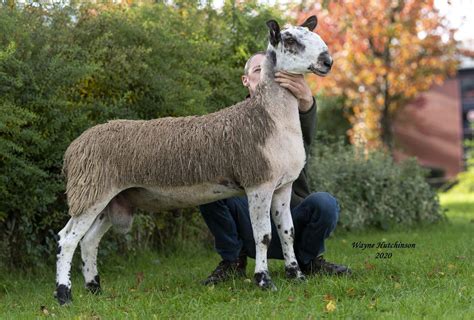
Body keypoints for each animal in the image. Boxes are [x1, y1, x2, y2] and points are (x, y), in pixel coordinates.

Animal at [54, 15, 334, 304]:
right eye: (289, 40)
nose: (327, 61)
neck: (270, 118)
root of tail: (74, 148)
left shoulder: (282, 186)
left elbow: (287, 232)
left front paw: (296, 275)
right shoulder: (259, 183)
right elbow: (264, 235)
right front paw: (264, 281)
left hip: (113, 198)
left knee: (88, 241)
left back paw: (94, 288)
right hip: (90, 191)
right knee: (67, 239)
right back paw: (64, 295)